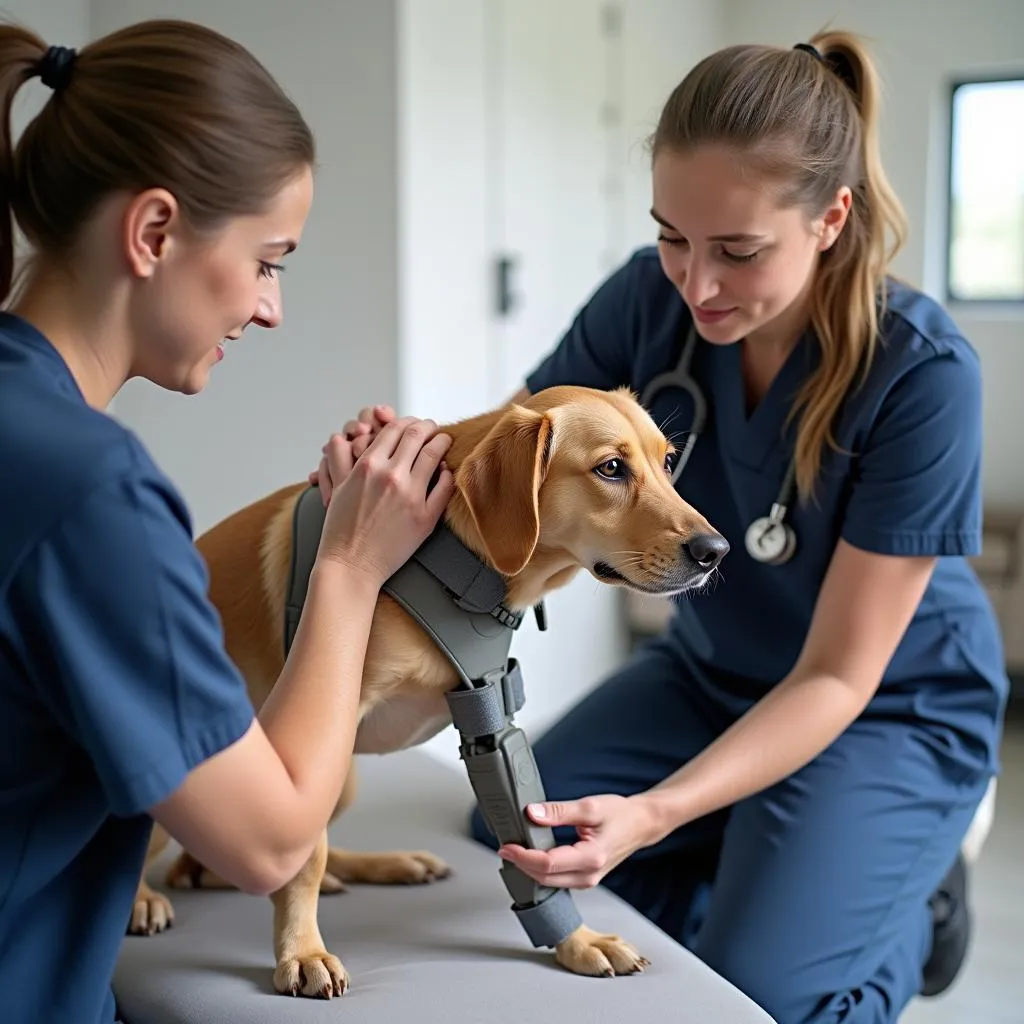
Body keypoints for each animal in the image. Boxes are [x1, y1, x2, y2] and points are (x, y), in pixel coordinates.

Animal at [128, 382, 729, 991]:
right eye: (610, 468)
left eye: (667, 462)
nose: (715, 551)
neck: (456, 560)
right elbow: (304, 861)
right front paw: (302, 952)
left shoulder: (489, 719)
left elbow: (525, 836)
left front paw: (577, 940)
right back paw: (144, 901)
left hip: (342, 780)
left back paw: (379, 866)